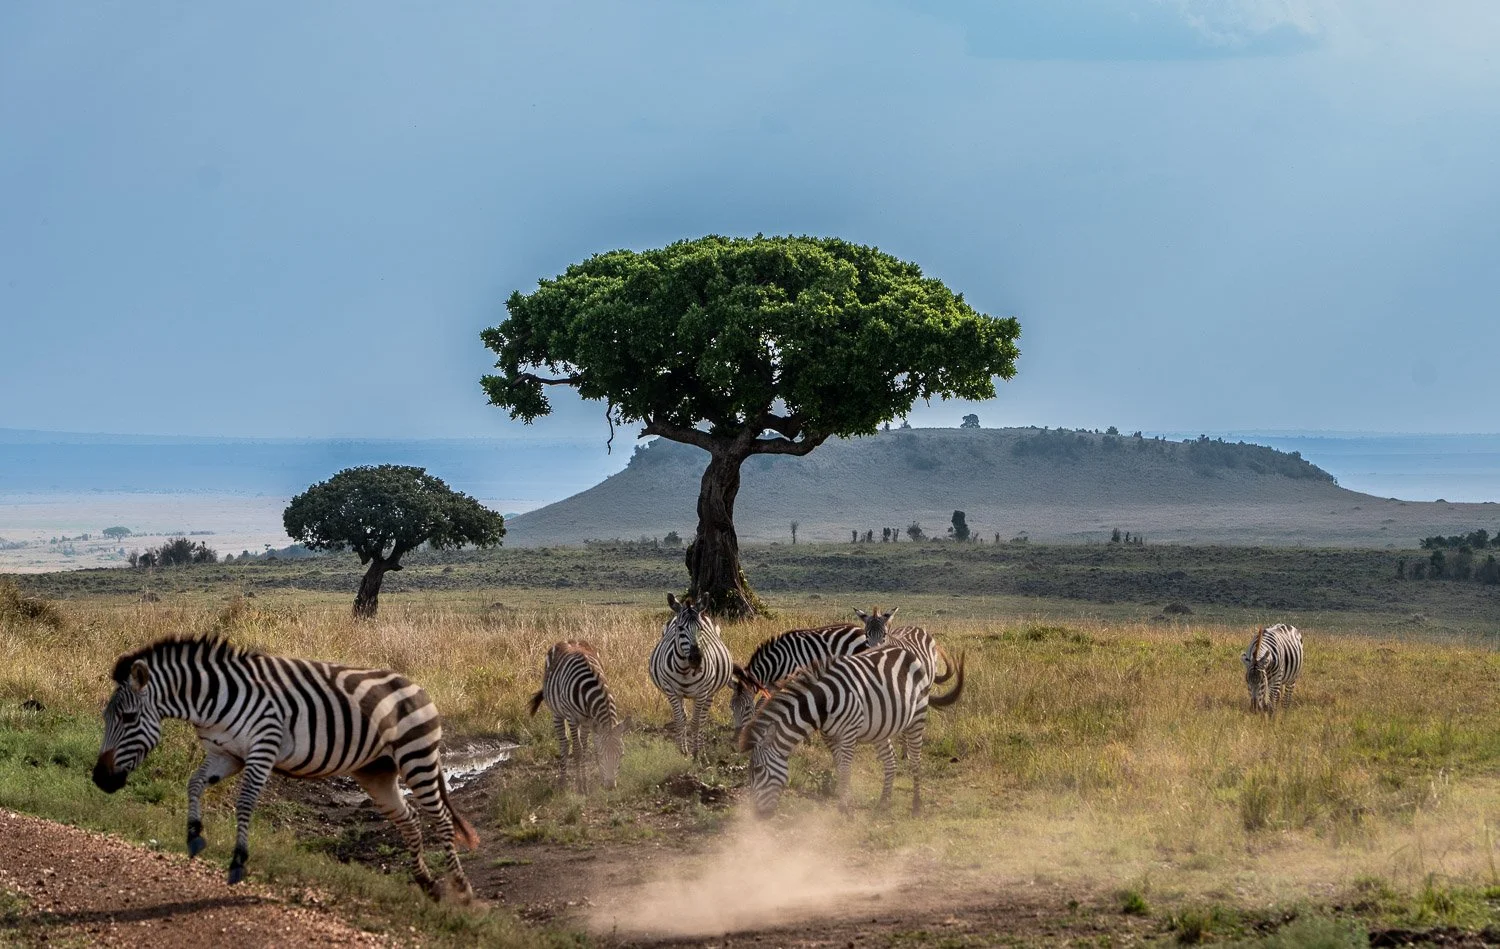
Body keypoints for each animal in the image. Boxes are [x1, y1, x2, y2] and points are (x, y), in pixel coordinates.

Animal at [91, 636, 477, 900]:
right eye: (106, 718)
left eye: (128, 718)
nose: (99, 780)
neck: (213, 701)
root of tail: (417, 687)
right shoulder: (225, 755)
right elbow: (194, 783)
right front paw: (194, 835)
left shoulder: (263, 747)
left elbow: (244, 803)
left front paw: (238, 862)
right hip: (377, 772)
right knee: (409, 818)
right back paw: (426, 883)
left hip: (417, 758)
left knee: (442, 818)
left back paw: (461, 888)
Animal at [528, 640, 627, 793]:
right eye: (600, 756)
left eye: (621, 755)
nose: (610, 787)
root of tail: (568, 640)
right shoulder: (572, 717)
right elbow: (577, 750)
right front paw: (581, 785)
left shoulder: (589, 720)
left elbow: (585, 749)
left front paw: (586, 781)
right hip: (557, 713)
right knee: (564, 743)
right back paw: (562, 782)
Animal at [649, 593, 733, 759]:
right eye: (680, 628)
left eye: (701, 629)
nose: (696, 658)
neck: (684, 669)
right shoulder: (671, 691)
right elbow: (680, 720)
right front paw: (682, 751)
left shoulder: (701, 692)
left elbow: (696, 722)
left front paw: (696, 753)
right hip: (680, 694)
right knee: (683, 716)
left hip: (709, 692)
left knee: (702, 718)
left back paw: (701, 748)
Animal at [729, 623, 867, 736]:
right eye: (731, 707)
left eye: (747, 708)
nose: (736, 738)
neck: (777, 662)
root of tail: (860, 629)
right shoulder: (772, 685)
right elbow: (762, 704)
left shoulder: (793, 679)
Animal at [736, 645, 966, 817]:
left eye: (758, 770)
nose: (758, 815)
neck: (822, 704)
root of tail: (904, 650)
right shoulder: (829, 735)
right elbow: (839, 767)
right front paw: (846, 800)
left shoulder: (848, 733)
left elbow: (846, 769)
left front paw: (844, 808)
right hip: (881, 726)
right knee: (890, 760)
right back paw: (884, 802)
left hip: (917, 716)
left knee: (916, 760)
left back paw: (917, 805)